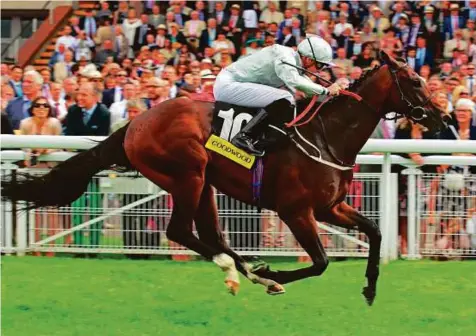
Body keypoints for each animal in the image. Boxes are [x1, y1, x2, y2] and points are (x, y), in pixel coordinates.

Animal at [1, 50, 446, 304]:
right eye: (414, 81)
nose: (442, 118)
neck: (326, 135)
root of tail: (134, 125)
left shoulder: (330, 207)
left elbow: (375, 231)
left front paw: (370, 289)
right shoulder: (296, 211)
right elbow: (319, 262)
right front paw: (275, 273)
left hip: (204, 185)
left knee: (210, 234)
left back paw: (246, 272)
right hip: (187, 174)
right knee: (181, 231)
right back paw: (246, 272)